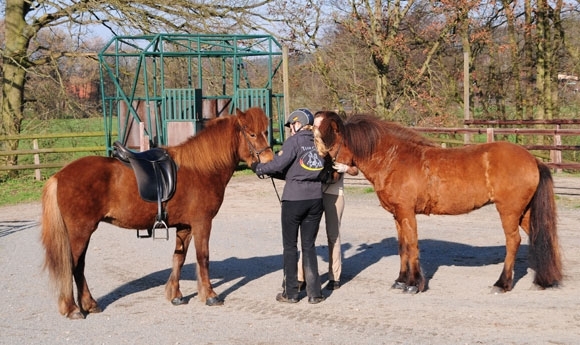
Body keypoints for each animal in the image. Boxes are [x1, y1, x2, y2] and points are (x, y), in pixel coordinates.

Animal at [42, 107, 274, 318]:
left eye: (265, 131)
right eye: (252, 134)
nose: (270, 160)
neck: (201, 168)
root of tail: (59, 175)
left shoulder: (185, 226)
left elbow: (179, 258)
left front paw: (175, 295)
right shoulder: (202, 223)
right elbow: (203, 257)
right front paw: (210, 295)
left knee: (79, 267)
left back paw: (89, 304)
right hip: (80, 232)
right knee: (72, 265)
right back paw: (73, 309)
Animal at [314, 112, 564, 292]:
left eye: (327, 140)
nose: (325, 176)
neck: (393, 159)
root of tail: (533, 160)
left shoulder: (407, 213)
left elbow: (412, 245)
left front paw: (414, 284)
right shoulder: (397, 215)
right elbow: (402, 246)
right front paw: (401, 280)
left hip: (509, 211)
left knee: (513, 241)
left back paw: (502, 284)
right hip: (524, 212)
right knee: (539, 236)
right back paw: (546, 279)